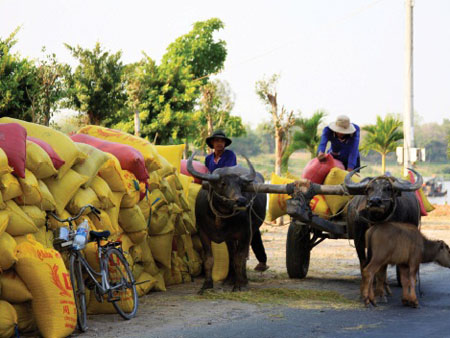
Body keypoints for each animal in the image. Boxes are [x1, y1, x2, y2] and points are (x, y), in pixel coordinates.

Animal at [187, 153, 268, 294]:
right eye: (223, 184)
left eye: (241, 185)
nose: (241, 200)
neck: (219, 217)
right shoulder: (203, 233)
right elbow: (209, 259)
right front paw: (206, 285)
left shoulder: (245, 234)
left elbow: (239, 258)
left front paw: (239, 285)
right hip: (229, 238)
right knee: (231, 254)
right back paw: (229, 279)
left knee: (241, 255)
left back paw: (243, 280)